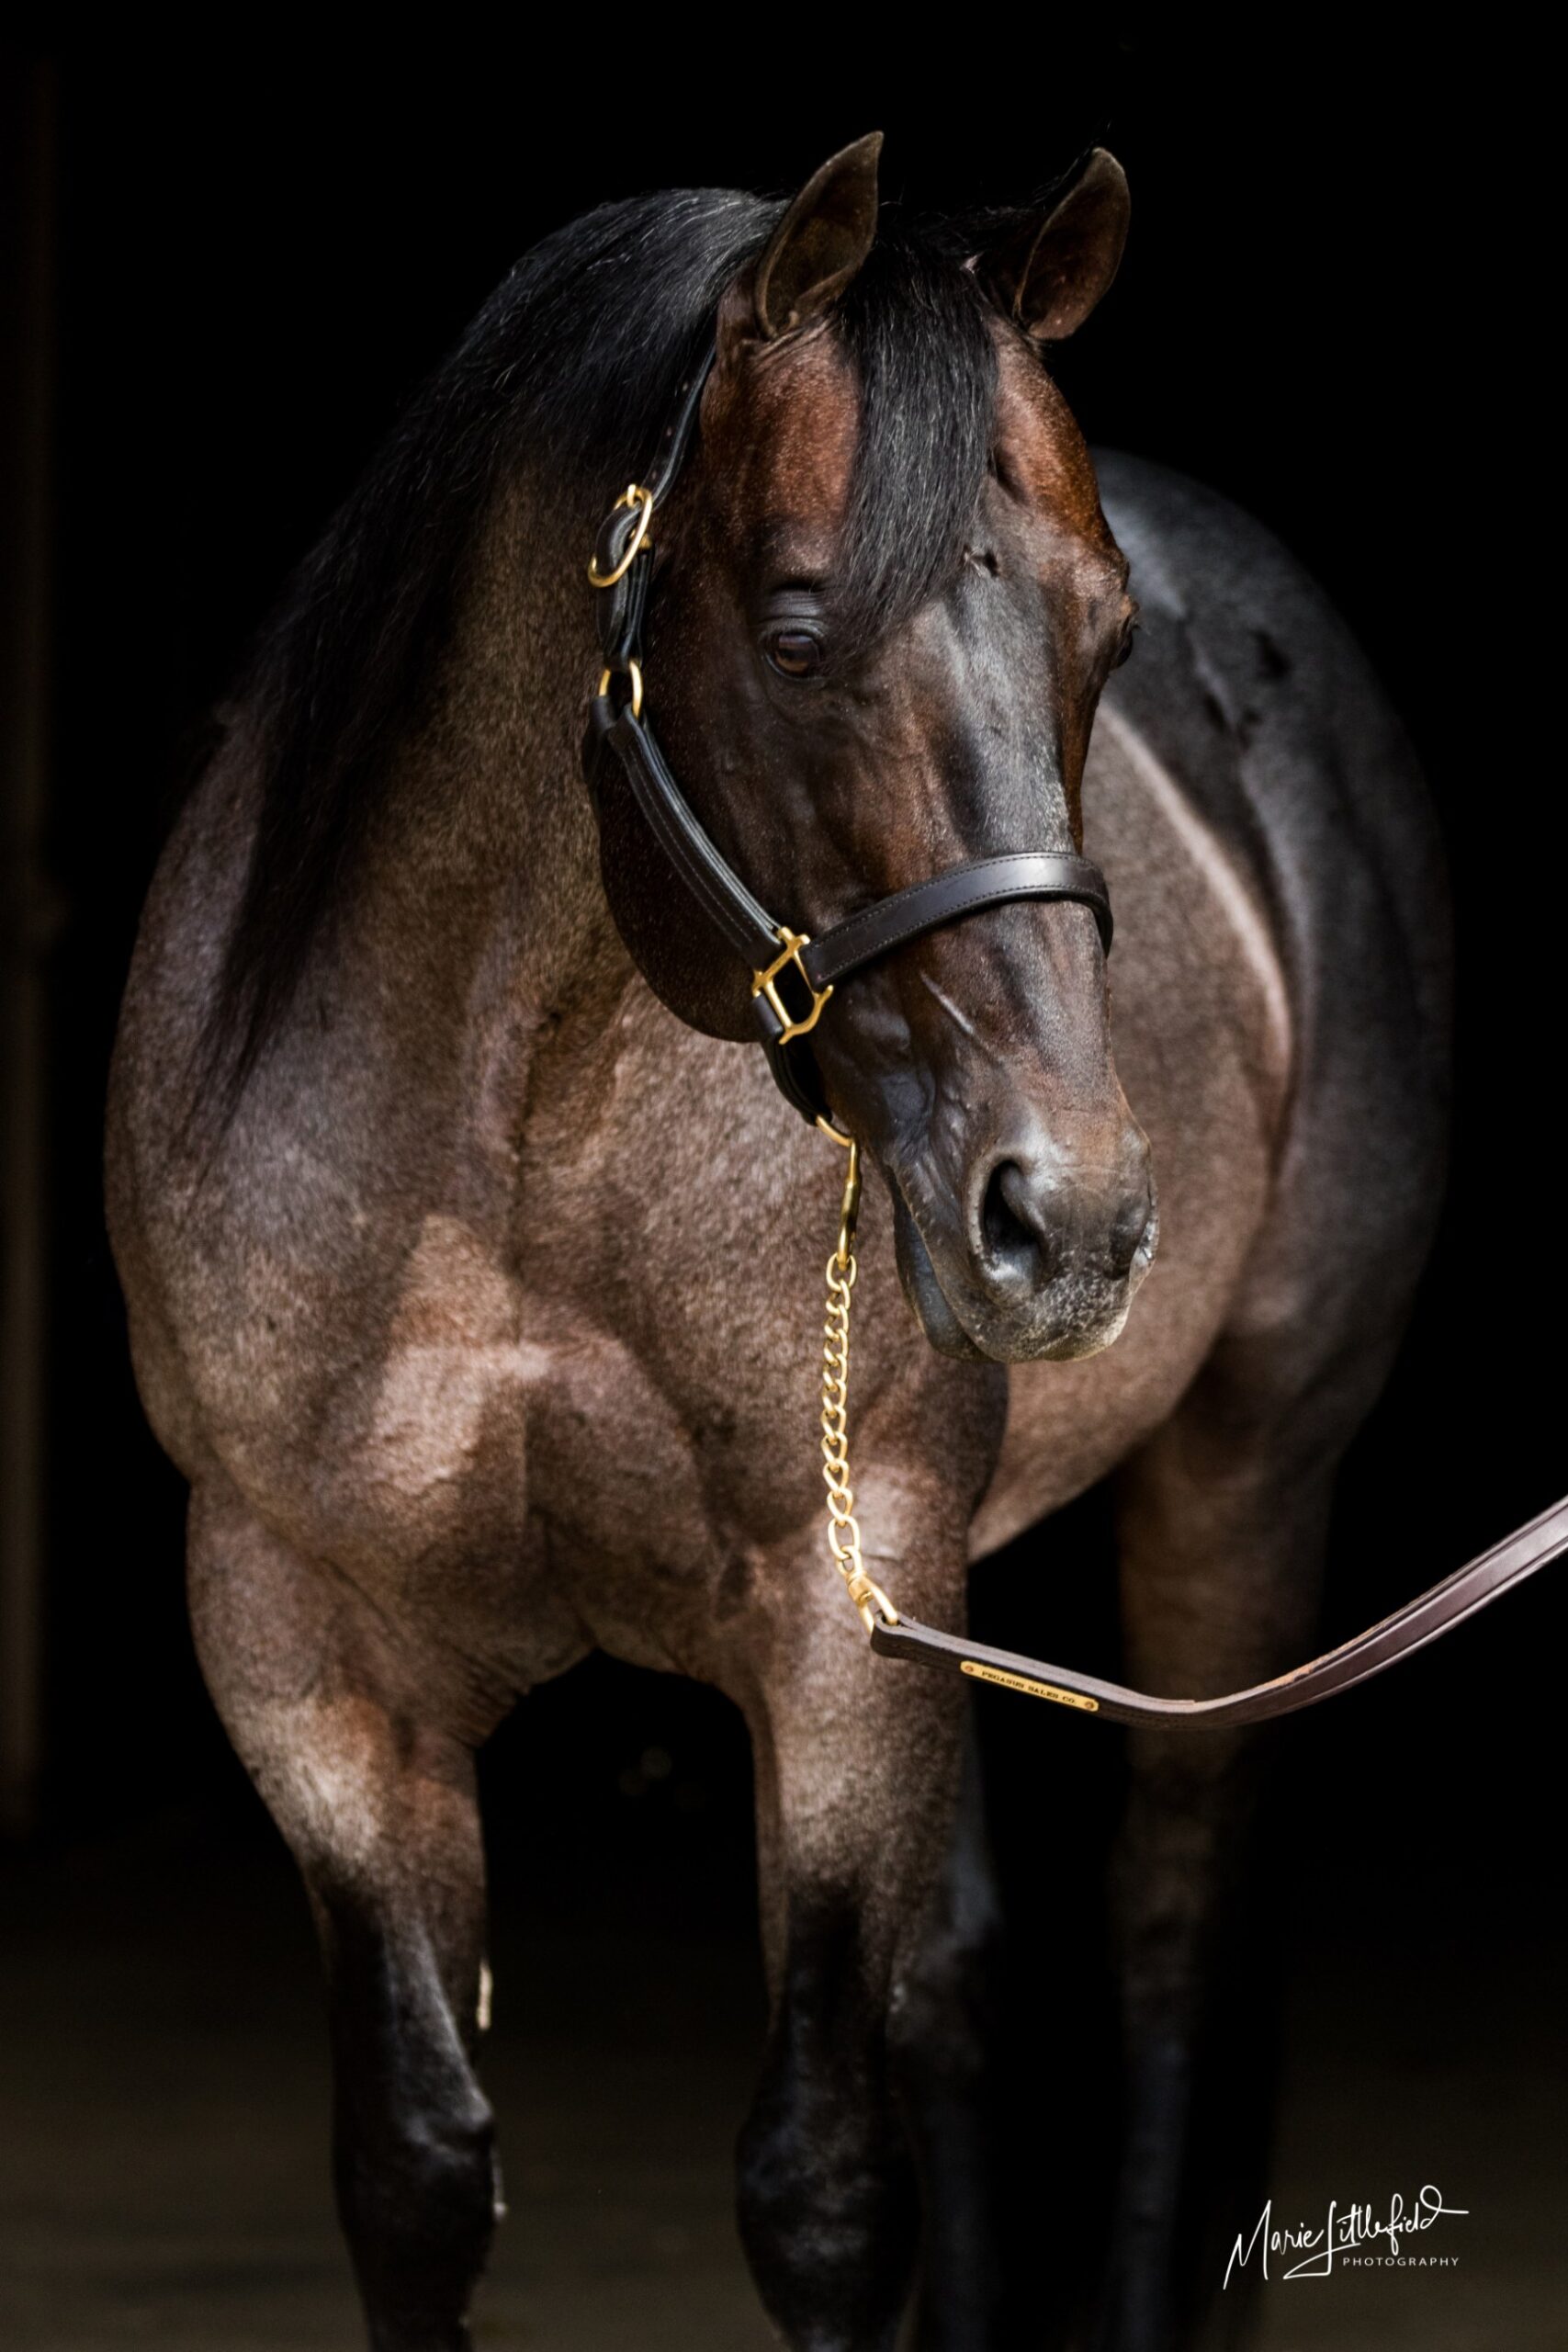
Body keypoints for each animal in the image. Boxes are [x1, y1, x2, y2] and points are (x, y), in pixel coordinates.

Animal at [105, 136, 1450, 2351]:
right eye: (803, 623)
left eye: (1105, 637)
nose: (1069, 1216)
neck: (519, 1140)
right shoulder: (306, 1650)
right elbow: (415, 2167)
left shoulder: (832, 1631)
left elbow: (822, 2180)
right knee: (976, 1984)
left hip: (1240, 1479)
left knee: (1173, 1949)